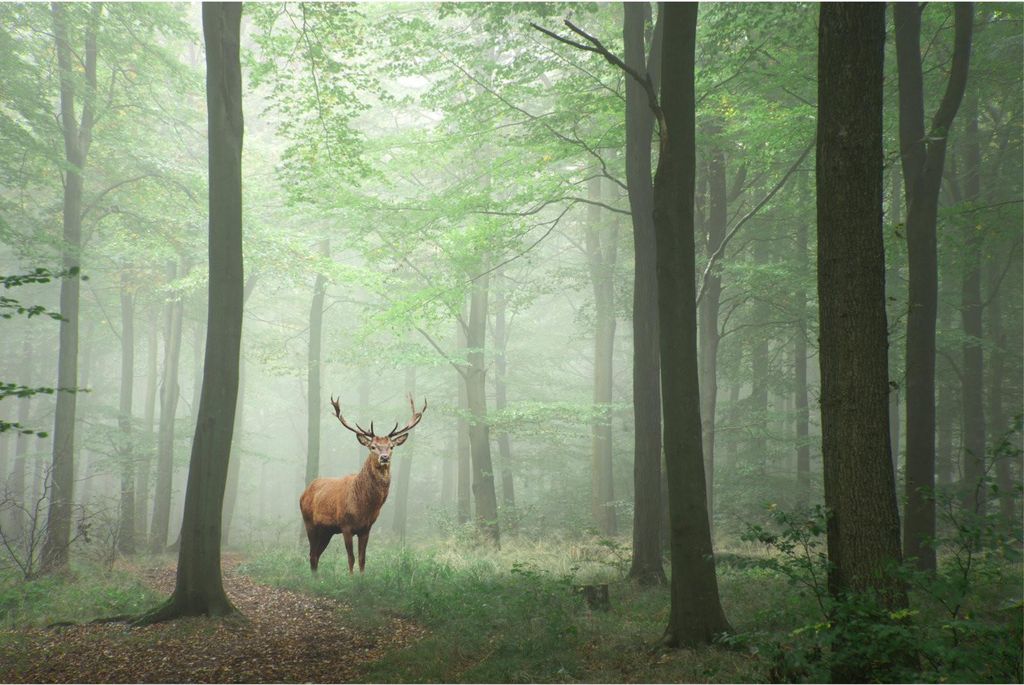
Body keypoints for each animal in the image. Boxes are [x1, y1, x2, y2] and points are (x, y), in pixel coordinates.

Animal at [299, 393, 426, 574]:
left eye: (391, 446)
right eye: (373, 446)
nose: (384, 457)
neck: (364, 506)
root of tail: (304, 493)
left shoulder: (366, 528)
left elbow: (362, 559)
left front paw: (362, 578)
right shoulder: (345, 525)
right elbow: (351, 558)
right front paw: (351, 578)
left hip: (327, 530)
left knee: (316, 555)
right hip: (309, 522)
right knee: (312, 554)